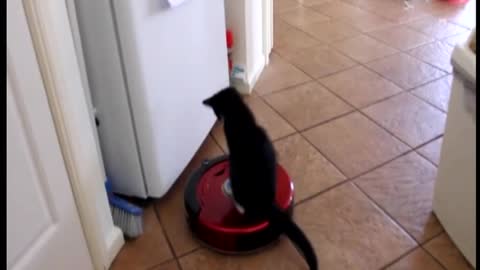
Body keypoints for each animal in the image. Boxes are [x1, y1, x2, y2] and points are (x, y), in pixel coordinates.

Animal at [202, 87, 318, 270]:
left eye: (216, 111)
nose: (218, 118)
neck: (241, 118)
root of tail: (266, 203)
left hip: (237, 176)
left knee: (243, 205)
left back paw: (237, 204)